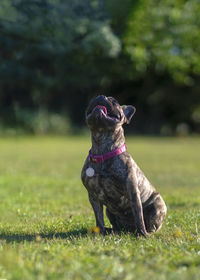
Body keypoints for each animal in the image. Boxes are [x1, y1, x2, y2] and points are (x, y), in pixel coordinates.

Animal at [80, 95, 166, 236]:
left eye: (114, 101)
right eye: (94, 98)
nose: (101, 96)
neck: (103, 149)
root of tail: (129, 230)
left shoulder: (132, 191)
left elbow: (139, 215)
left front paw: (142, 234)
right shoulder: (93, 195)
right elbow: (98, 217)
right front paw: (100, 232)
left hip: (157, 206)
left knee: (151, 224)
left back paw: (146, 232)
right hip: (109, 211)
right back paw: (112, 230)